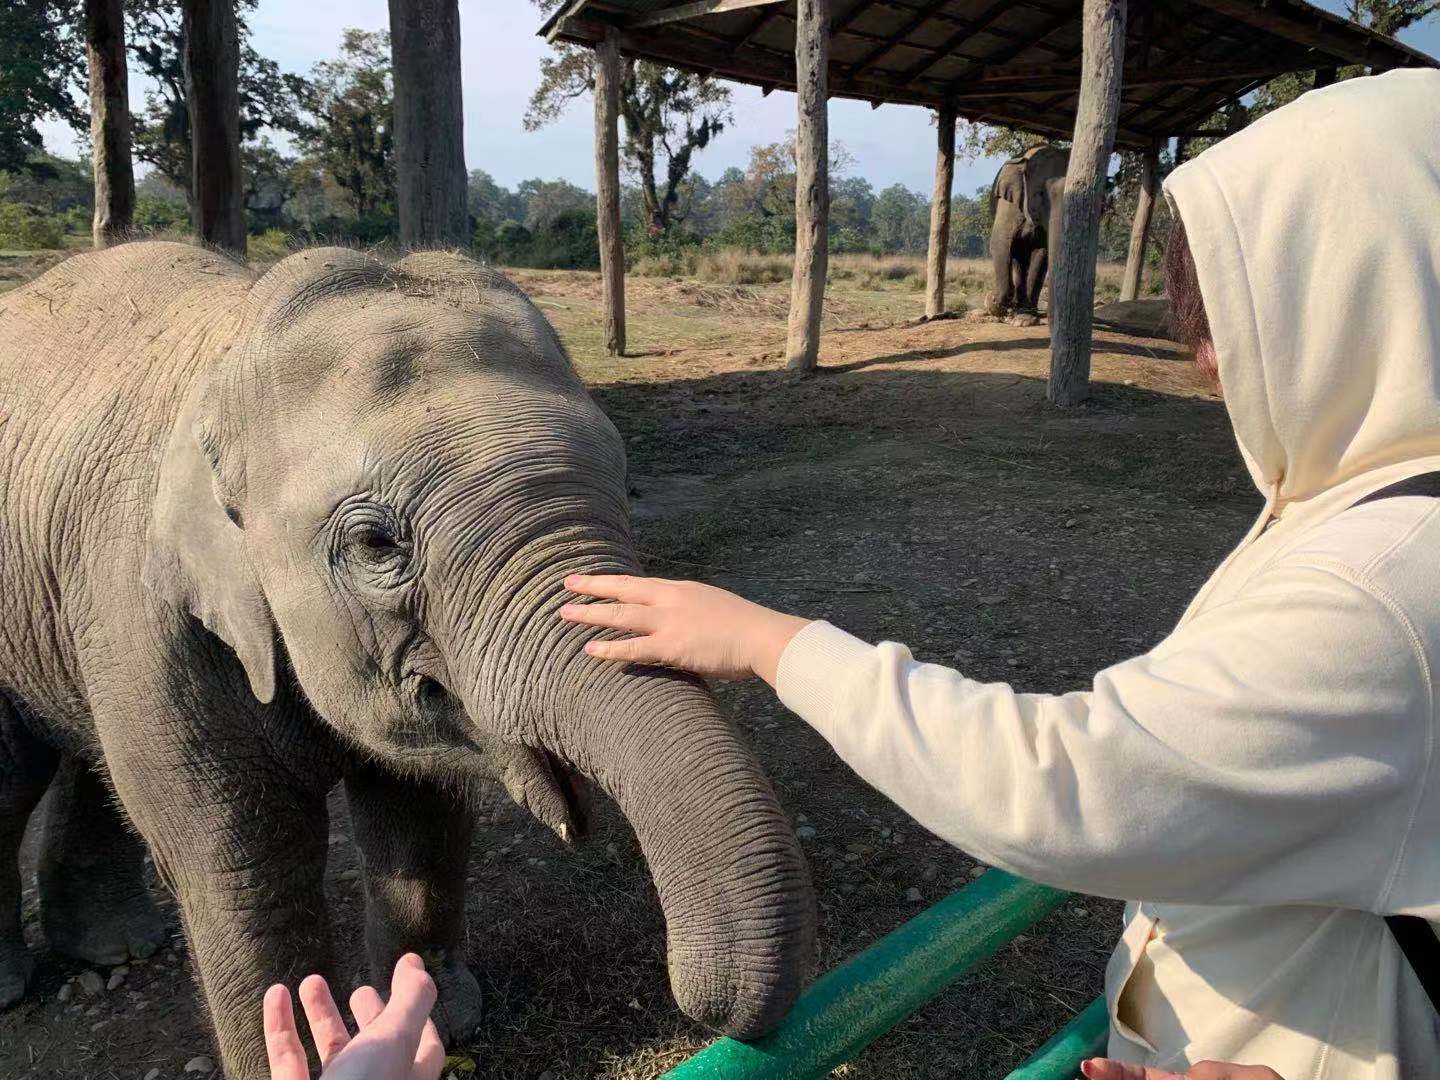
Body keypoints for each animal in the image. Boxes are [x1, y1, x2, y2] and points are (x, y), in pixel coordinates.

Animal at [0, 244, 812, 1080]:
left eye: (628, 487)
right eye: (375, 543)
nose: (700, 1000)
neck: (234, 344)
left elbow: (421, 810)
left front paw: (436, 1026)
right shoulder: (144, 612)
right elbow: (242, 851)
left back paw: (115, 948)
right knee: (18, 775)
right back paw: (23, 983)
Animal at [990, 144, 1071, 315]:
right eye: (1040, 193)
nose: (992, 299)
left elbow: (1042, 253)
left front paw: (1026, 308)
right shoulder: (1009, 202)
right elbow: (1000, 243)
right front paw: (1001, 304)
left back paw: (1024, 305)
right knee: (1017, 256)